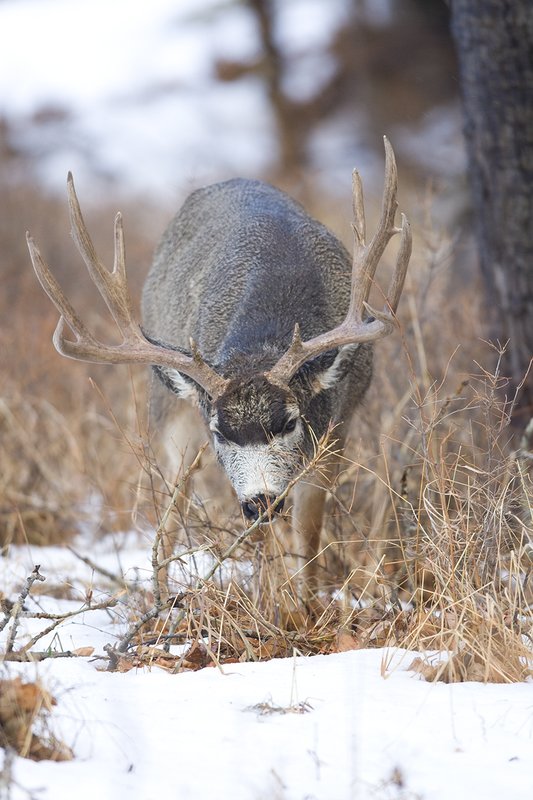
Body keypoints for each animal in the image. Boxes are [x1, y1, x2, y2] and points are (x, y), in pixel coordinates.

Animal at [27, 137, 411, 596]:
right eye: (219, 431)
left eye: (290, 422)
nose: (261, 501)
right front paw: (280, 603)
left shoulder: (337, 425)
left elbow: (307, 535)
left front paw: (306, 603)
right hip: (167, 412)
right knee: (170, 513)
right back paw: (160, 599)